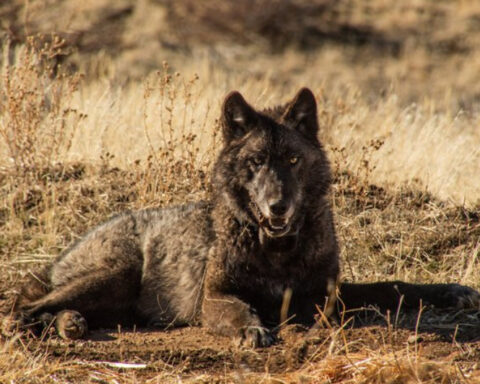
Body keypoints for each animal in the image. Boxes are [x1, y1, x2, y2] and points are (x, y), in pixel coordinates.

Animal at [4, 88, 480, 346]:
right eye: (255, 163)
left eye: (291, 160)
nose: (277, 207)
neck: (277, 250)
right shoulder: (214, 297)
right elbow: (240, 309)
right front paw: (253, 330)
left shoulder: (327, 292)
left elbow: (394, 288)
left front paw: (451, 291)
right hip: (116, 273)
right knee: (24, 306)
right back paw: (48, 324)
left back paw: (70, 324)